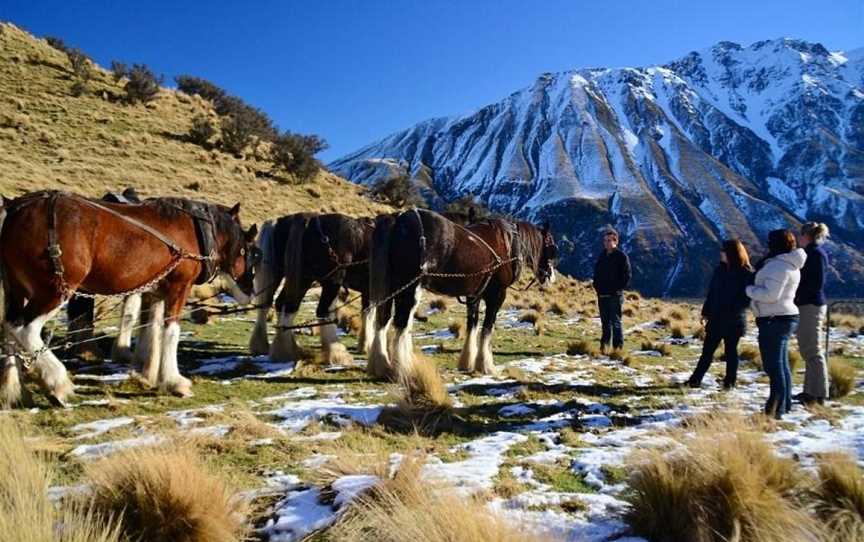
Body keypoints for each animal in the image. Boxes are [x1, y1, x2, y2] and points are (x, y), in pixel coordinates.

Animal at [0, 192, 256, 408]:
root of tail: (16, 208)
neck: (194, 231)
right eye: (247, 249)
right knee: (25, 329)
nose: (250, 290)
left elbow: (151, 328)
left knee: (10, 328)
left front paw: (148, 372)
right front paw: (174, 381)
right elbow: (171, 332)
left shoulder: (155, 290)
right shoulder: (178, 287)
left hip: (17, 290)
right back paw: (58, 384)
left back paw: (15, 392)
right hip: (54, 290)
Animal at [248, 215, 372, 364]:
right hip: (325, 281)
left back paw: (275, 348)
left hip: (284, 275)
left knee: (272, 305)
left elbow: (367, 313)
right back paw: (336, 354)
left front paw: (364, 344)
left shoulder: (368, 290)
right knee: (319, 310)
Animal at [366, 209, 556, 382]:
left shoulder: (474, 295)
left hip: (394, 286)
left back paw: (382, 366)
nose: (550, 276)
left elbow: (473, 324)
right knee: (401, 323)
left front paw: (467, 362)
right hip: (410, 288)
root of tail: (397, 219)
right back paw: (402, 369)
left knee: (383, 320)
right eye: (552, 247)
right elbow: (487, 328)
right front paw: (486, 366)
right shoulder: (497, 295)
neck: (508, 243)